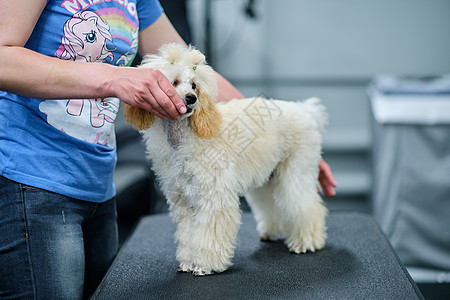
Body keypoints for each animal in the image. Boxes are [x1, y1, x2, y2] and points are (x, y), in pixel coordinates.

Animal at [125, 43, 328, 276]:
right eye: (174, 82)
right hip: (268, 177)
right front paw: (188, 262)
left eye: (194, 85)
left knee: (305, 205)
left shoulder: (214, 195)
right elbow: (187, 233)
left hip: (296, 171)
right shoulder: (183, 199)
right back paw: (272, 231)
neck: (186, 137)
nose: (191, 98)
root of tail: (305, 111)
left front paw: (204, 265)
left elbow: (209, 232)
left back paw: (305, 242)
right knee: (271, 203)